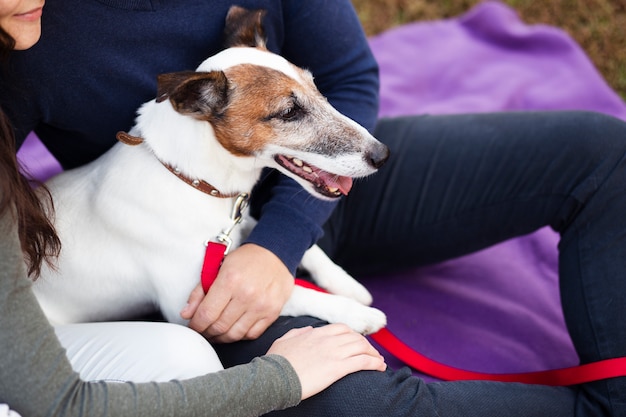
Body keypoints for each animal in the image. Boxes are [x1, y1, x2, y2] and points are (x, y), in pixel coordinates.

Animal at [34, 5, 388, 334]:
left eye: (317, 88)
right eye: (289, 112)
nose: (382, 155)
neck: (190, 179)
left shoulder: (240, 225)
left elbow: (307, 249)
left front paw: (347, 284)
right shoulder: (188, 302)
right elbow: (290, 293)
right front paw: (357, 313)